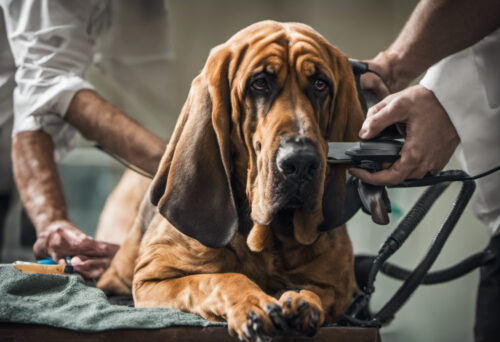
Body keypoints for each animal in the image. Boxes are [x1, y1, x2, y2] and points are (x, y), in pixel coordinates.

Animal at [97, 20, 364, 340]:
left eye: (320, 84)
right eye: (259, 83)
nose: (300, 162)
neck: (266, 242)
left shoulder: (338, 290)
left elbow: (313, 292)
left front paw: (302, 303)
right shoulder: (153, 278)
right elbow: (217, 278)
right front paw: (252, 304)